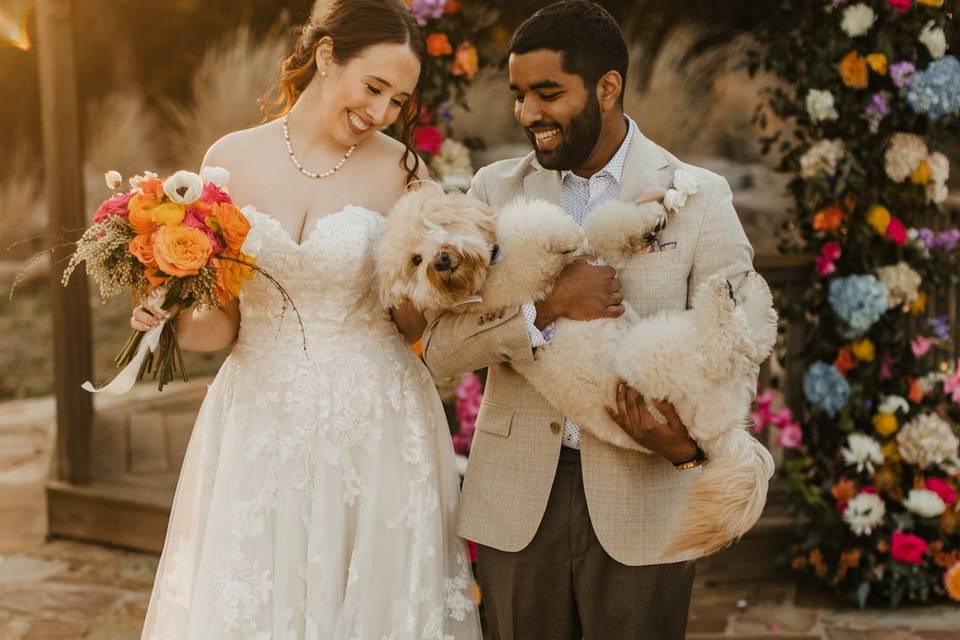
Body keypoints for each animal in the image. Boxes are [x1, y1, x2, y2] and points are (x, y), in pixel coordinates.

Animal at [378, 185, 776, 556]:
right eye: (416, 260)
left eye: (437, 226)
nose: (440, 261)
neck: (484, 270)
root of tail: (724, 432)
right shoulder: (523, 274)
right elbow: (541, 230)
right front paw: (566, 233)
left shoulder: (595, 258)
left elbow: (602, 224)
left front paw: (648, 219)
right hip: (652, 354)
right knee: (727, 344)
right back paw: (722, 297)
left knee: (753, 345)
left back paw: (754, 295)